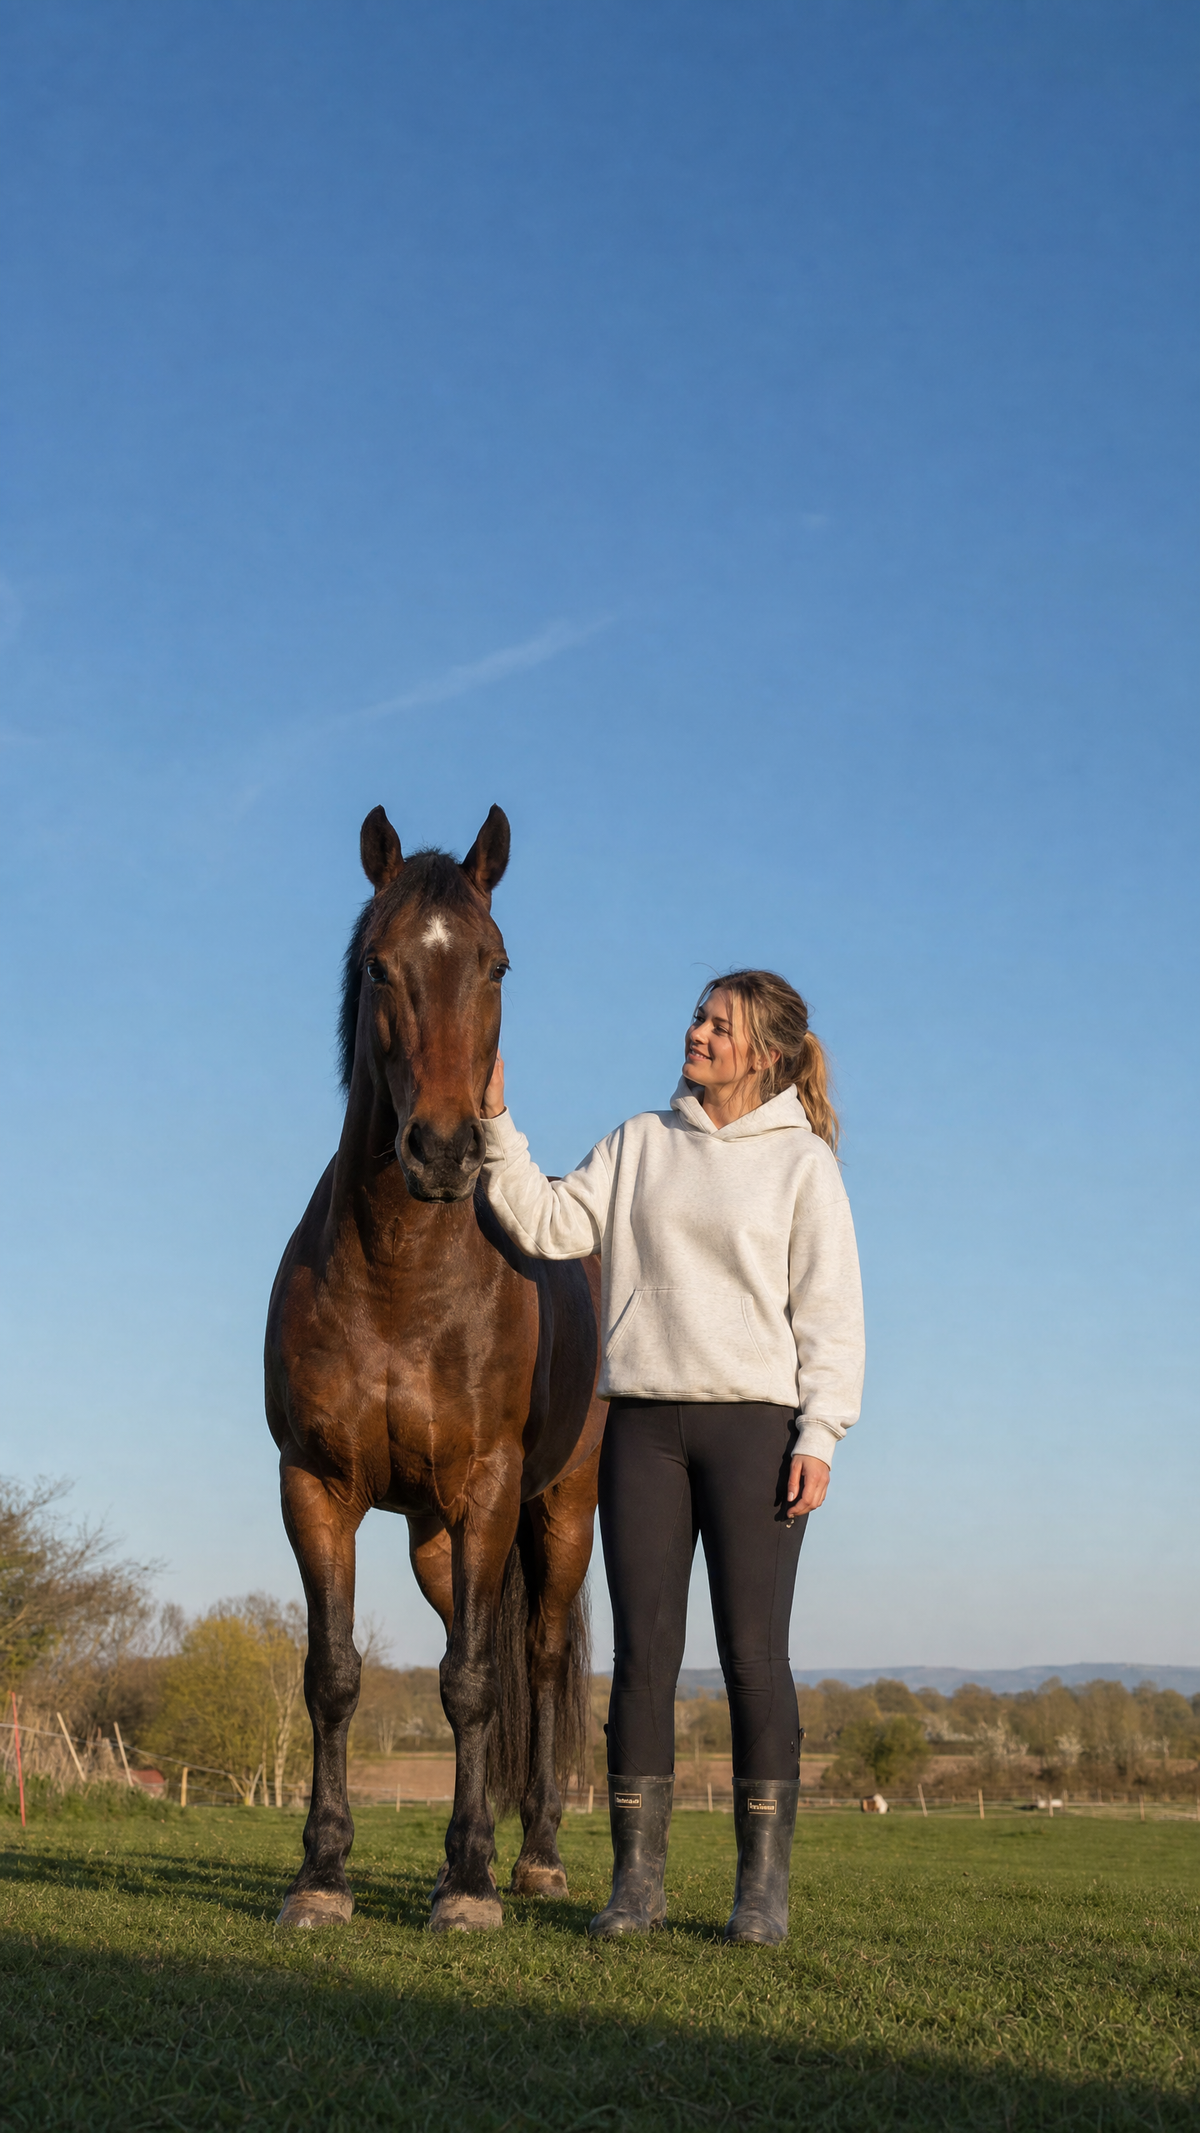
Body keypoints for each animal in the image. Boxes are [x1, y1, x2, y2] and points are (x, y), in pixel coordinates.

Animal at [265, 802, 605, 1932]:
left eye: (496, 965)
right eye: (381, 966)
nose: (447, 1152)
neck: (400, 1280)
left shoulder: (490, 1488)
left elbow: (475, 1685)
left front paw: (469, 1886)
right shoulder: (315, 1485)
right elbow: (334, 1675)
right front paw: (322, 1875)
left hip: (556, 1512)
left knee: (533, 1662)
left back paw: (533, 1857)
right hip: (433, 1538)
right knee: (476, 1643)